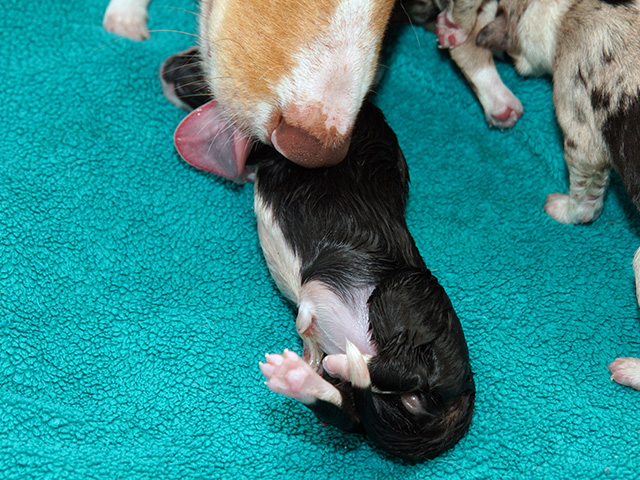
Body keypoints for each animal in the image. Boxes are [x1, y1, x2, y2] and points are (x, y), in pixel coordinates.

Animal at [161, 48, 476, 460]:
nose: (164, 71)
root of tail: (463, 391)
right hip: (373, 395)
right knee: (350, 413)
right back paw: (299, 377)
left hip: (404, 291)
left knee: (406, 368)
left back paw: (340, 363)